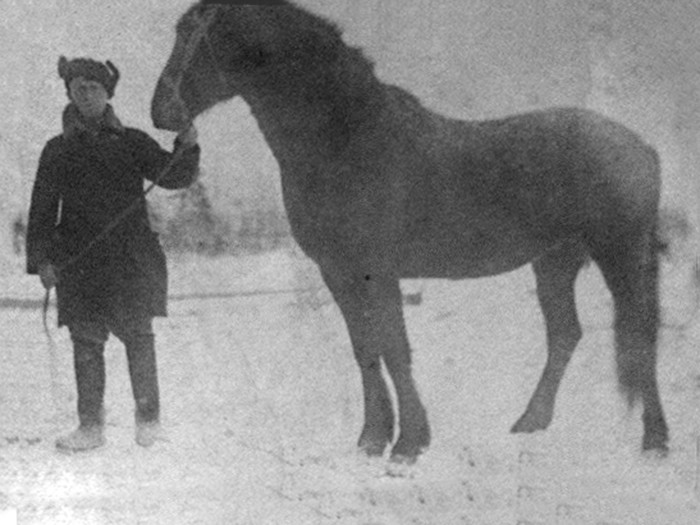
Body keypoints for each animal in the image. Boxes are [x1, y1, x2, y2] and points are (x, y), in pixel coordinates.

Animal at [151, 1, 669, 463]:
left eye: (203, 38)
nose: (161, 111)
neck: (346, 142)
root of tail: (641, 147)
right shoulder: (338, 273)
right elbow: (366, 350)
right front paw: (372, 439)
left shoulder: (378, 272)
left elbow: (395, 349)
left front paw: (408, 445)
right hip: (554, 262)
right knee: (565, 335)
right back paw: (531, 422)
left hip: (620, 256)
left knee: (639, 335)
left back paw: (655, 441)